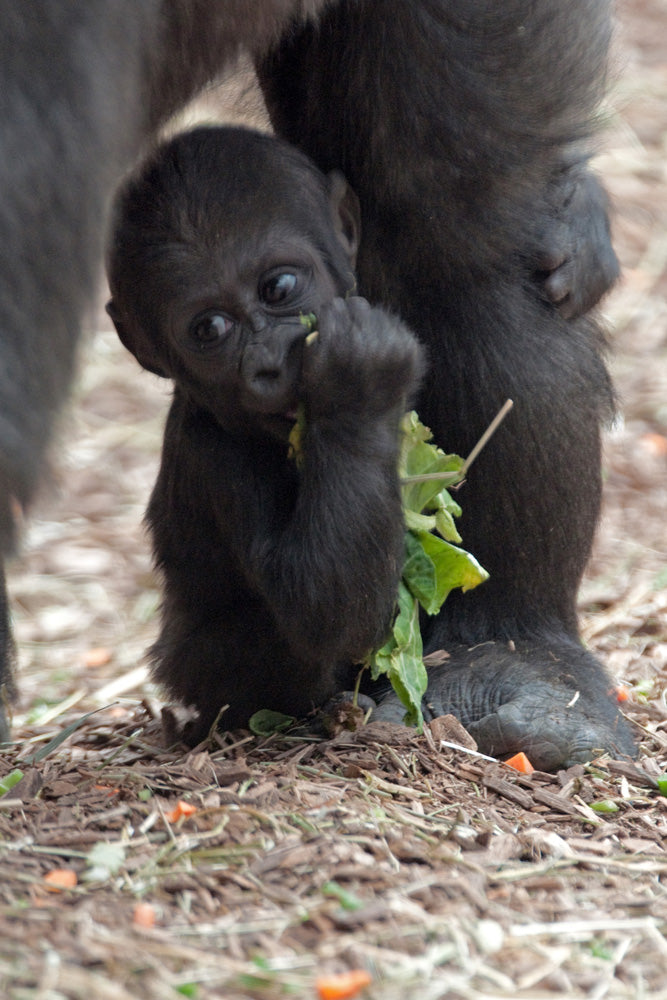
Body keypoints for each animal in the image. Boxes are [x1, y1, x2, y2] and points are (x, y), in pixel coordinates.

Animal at [107, 127, 426, 744]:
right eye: (209, 328)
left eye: (278, 287)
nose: (267, 364)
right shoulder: (218, 459)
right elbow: (319, 609)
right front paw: (359, 381)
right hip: (191, 673)